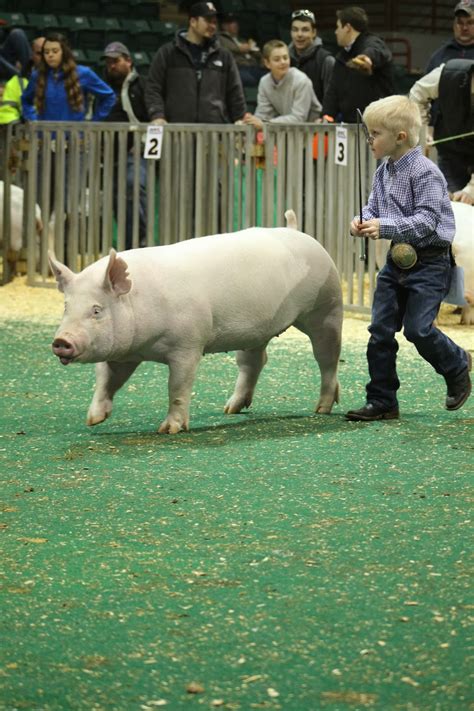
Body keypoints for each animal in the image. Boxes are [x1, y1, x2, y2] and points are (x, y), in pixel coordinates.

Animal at [50, 211, 342, 434]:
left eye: (96, 310)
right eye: (66, 306)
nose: (61, 341)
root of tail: (297, 231)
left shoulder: (187, 345)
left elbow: (178, 386)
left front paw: (168, 430)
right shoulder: (123, 351)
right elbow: (106, 379)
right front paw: (93, 420)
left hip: (326, 307)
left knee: (327, 357)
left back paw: (322, 408)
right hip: (255, 331)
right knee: (254, 361)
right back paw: (230, 409)